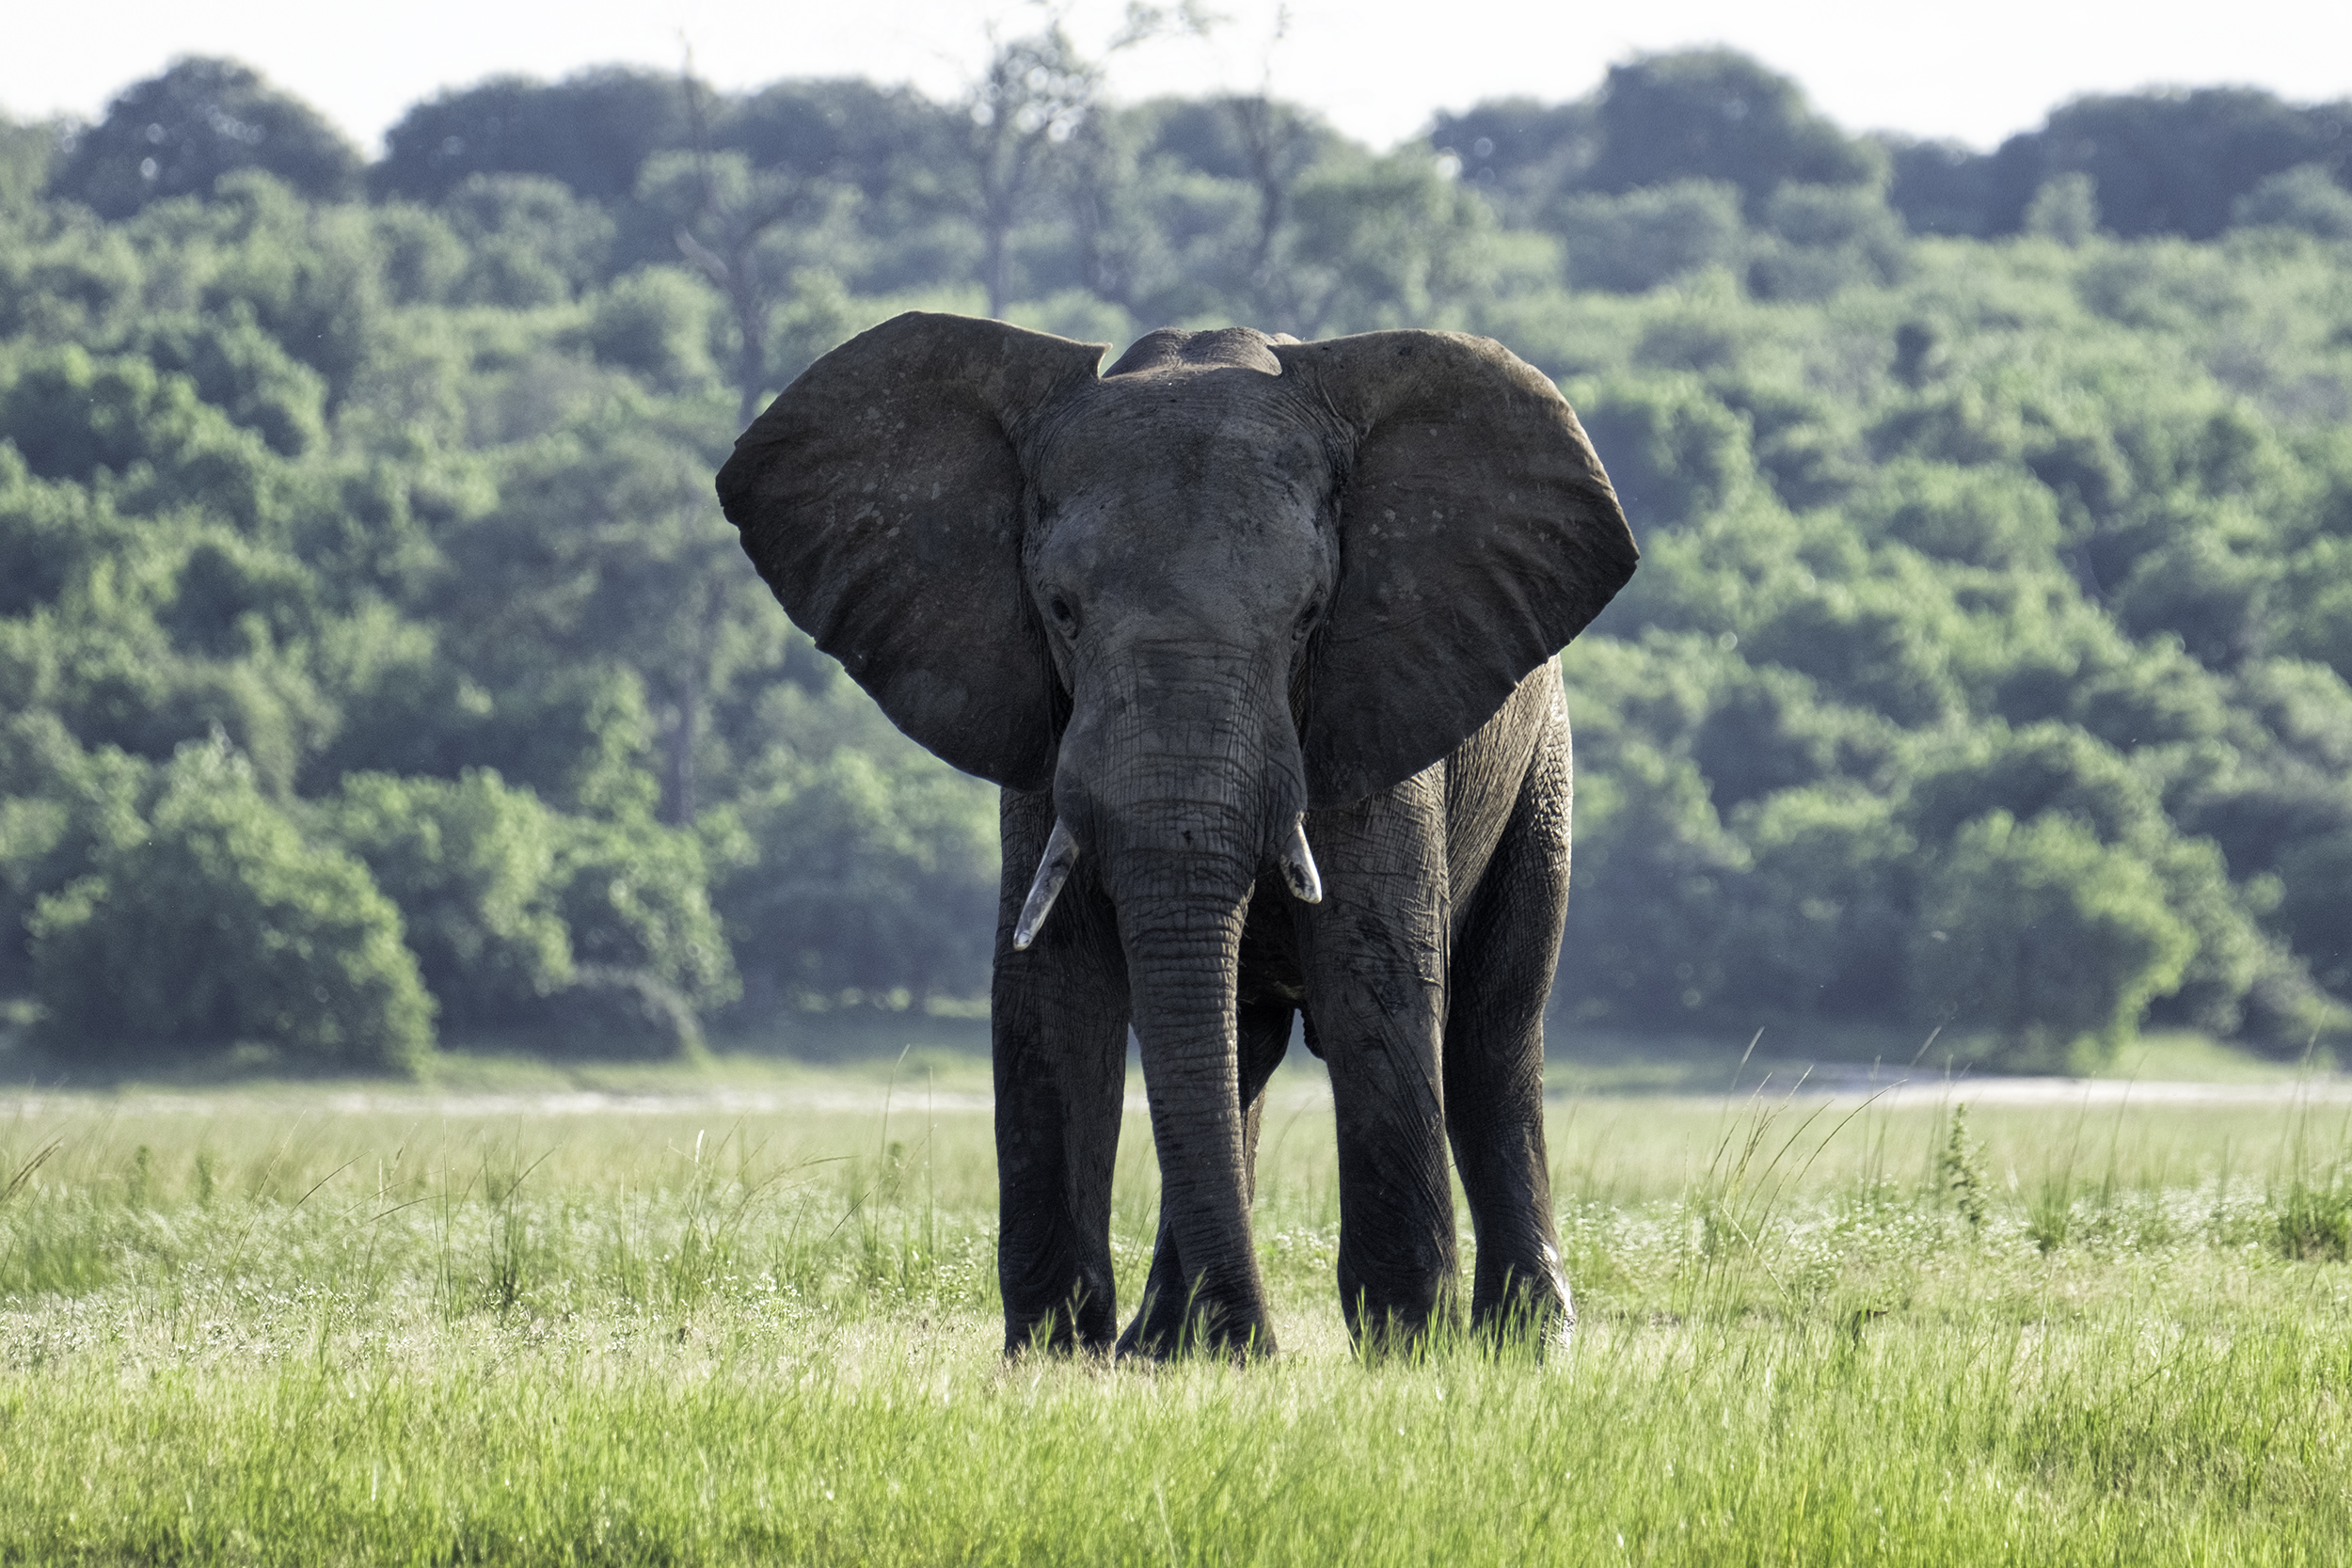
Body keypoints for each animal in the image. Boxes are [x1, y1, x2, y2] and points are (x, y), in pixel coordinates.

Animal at [715, 312, 1637, 1354]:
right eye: (1061, 611)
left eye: (1307, 617)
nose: (1264, 1344)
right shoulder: (1042, 732)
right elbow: (1050, 988)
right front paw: (1061, 1354)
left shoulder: (1378, 707)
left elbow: (1374, 977)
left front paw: (1406, 1348)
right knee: (1239, 1047)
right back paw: (1170, 1346)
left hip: (1541, 766)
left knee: (1490, 1034)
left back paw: (1522, 1341)